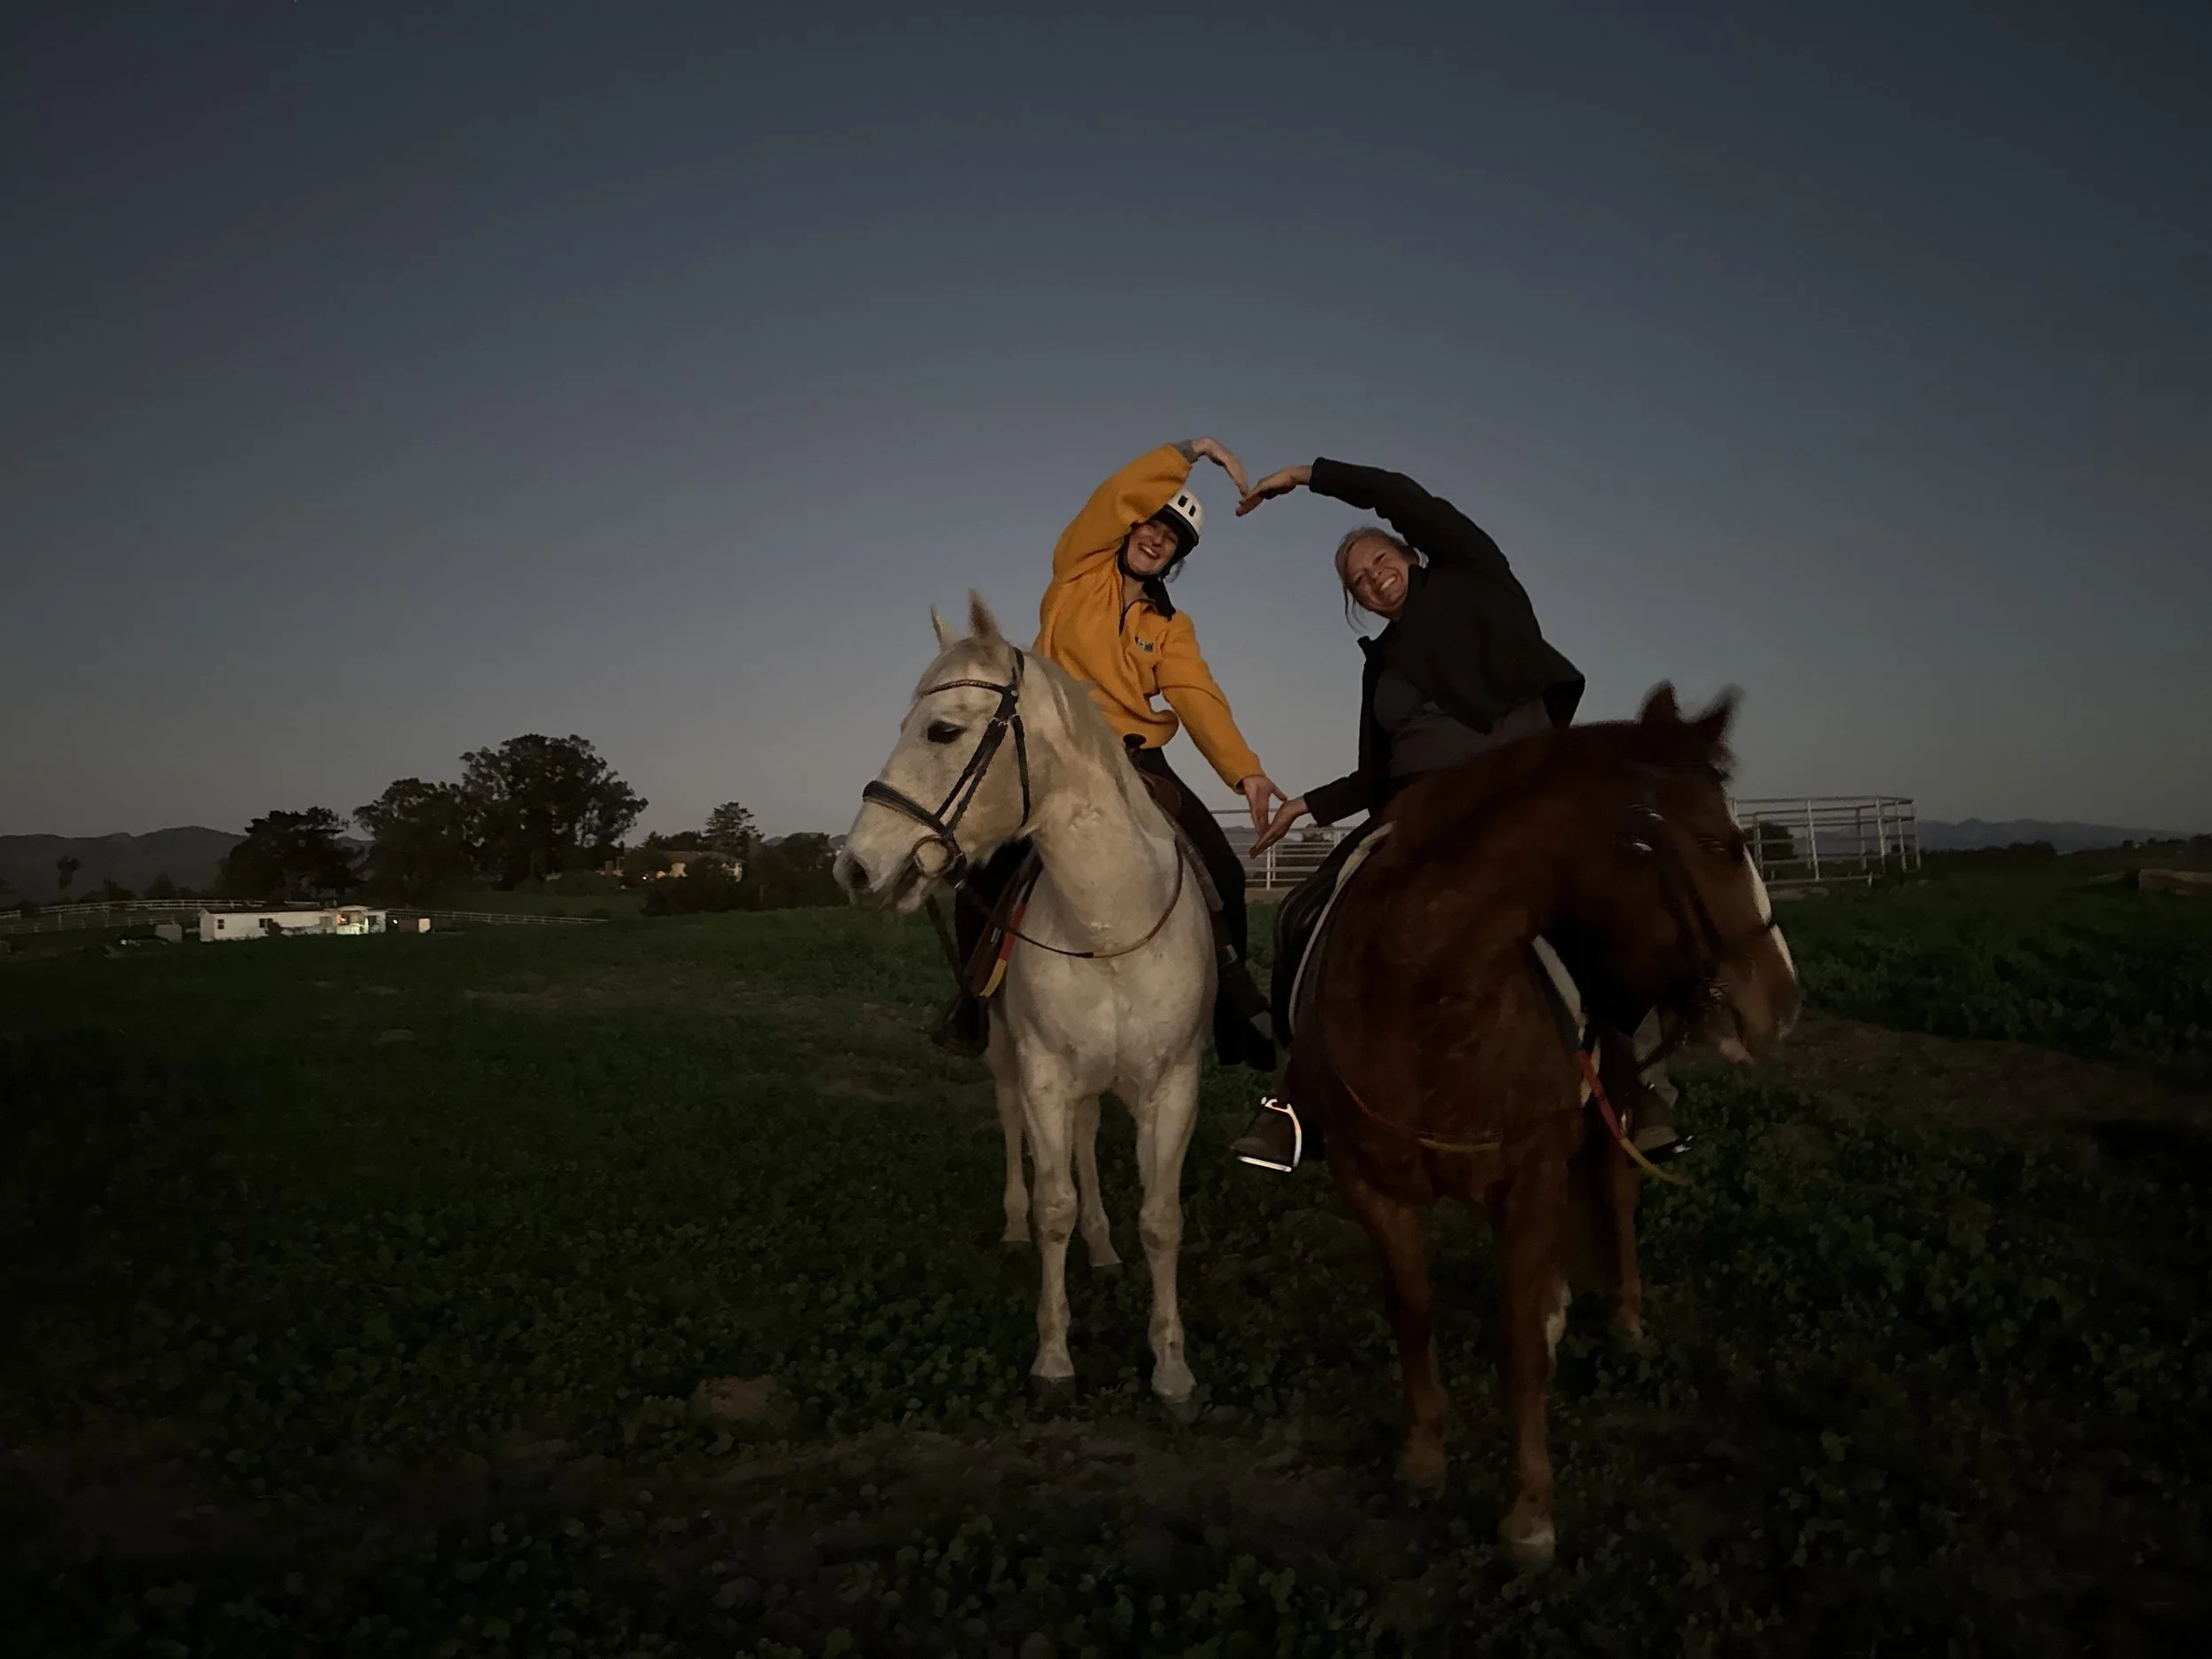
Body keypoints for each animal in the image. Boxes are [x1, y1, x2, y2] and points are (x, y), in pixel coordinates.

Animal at [834, 595, 1216, 1410]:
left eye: (942, 730)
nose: (856, 866)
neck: (1108, 924)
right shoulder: (1043, 1073)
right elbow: (1053, 1205)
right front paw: (1053, 1356)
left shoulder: (1172, 1084)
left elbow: (1160, 1218)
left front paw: (1171, 1367)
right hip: (1010, 1058)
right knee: (1020, 1133)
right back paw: (1016, 1225)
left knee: (1085, 1138)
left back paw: (1103, 1245)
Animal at [1283, 685, 1800, 1572]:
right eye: (1720, 844)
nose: (1784, 998)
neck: (1426, 993)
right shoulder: (1369, 1182)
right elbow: (1413, 1310)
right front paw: (1423, 1453)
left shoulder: (1530, 1176)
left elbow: (1519, 1338)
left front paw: (1527, 1513)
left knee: (1618, 1196)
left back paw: (1624, 1319)